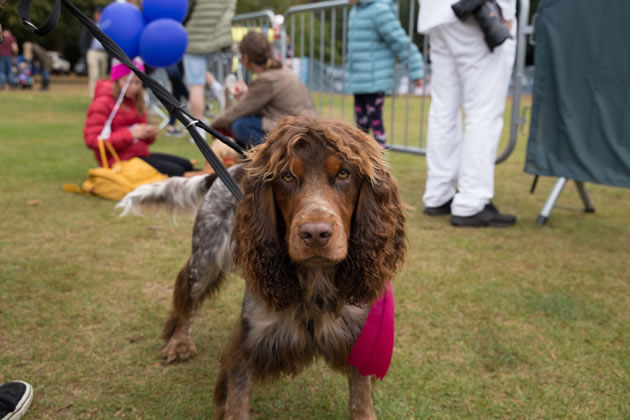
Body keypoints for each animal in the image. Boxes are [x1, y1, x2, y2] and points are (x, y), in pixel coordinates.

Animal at [116, 114, 408, 416]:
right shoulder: (247, 347)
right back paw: (179, 342)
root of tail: (230, 169)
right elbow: (236, 403)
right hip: (205, 257)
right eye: (287, 176)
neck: (315, 280)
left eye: (343, 174)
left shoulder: (360, 343)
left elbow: (361, 403)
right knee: (187, 293)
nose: (316, 234)